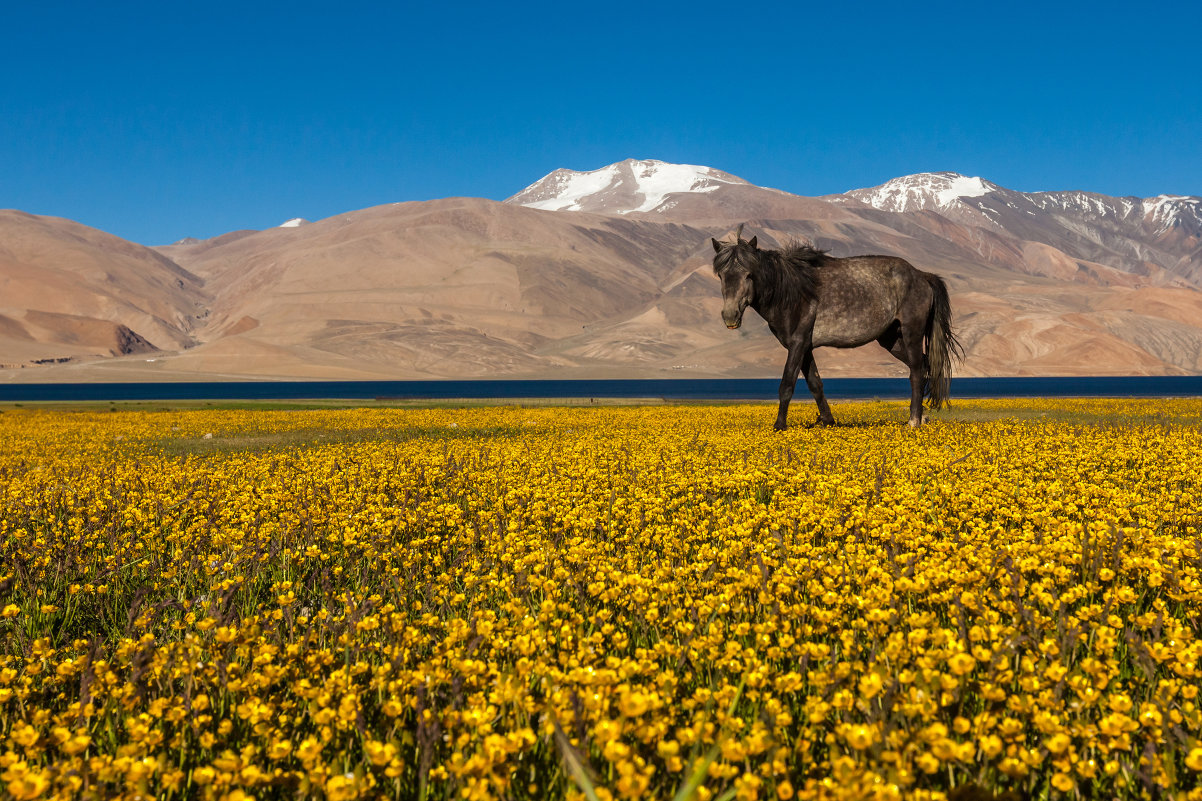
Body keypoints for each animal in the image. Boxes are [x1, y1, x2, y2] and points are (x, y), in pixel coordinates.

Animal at [711, 224, 956, 428]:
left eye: (748, 275)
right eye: (721, 275)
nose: (730, 316)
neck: (791, 291)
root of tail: (921, 275)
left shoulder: (798, 343)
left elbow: (787, 384)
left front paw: (779, 426)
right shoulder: (804, 346)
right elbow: (815, 384)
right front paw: (828, 421)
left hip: (911, 333)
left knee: (916, 371)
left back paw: (913, 421)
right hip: (892, 339)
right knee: (923, 366)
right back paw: (921, 417)